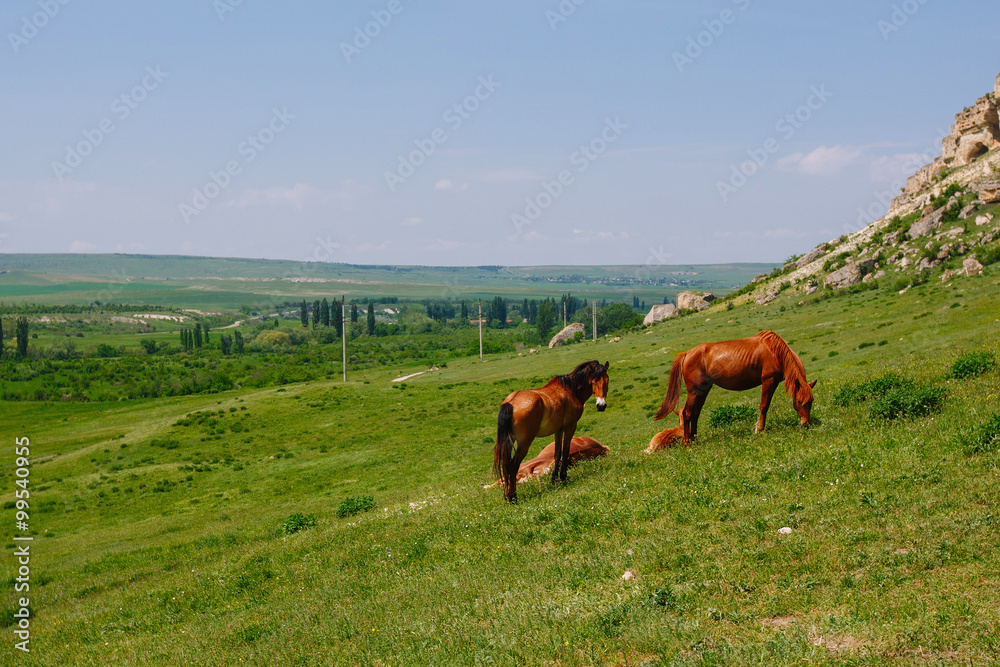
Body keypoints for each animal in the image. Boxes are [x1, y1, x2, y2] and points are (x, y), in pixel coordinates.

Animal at [494, 360, 610, 502]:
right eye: (593, 382)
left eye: (606, 381)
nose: (601, 405)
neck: (570, 390)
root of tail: (511, 403)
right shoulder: (570, 426)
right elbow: (565, 451)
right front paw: (563, 477)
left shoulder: (558, 430)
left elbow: (557, 453)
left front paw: (554, 480)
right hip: (524, 443)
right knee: (513, 466)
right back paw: (512, 496)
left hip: (509, 441)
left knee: (506, 466)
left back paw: (507, 495)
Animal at [654, 331, 815, 443]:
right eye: (799, 401)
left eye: (811, 402)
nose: (805, 424)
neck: (774, 351)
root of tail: (686, 354)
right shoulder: (769, 381)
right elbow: (764, 406)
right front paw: (759, 429)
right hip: (694, 391)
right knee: (687, 413)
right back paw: (687, 443)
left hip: (702, 391)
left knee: (695, 413)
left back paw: (694, 439)